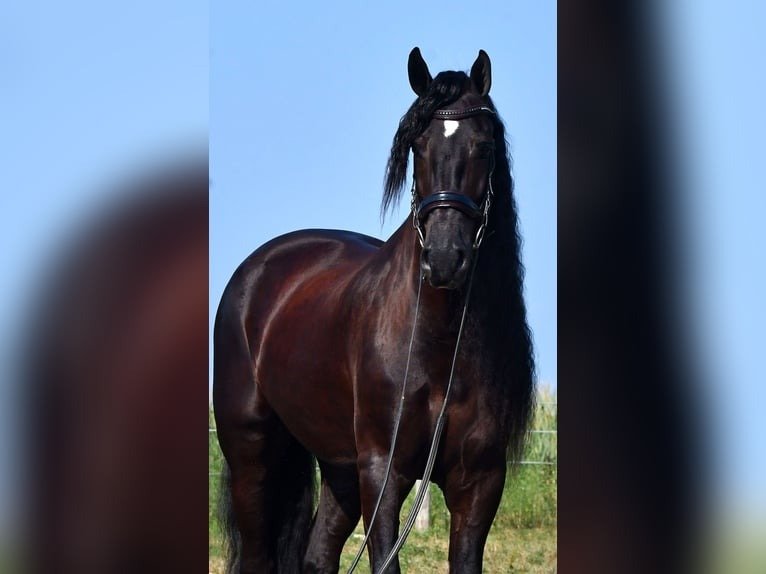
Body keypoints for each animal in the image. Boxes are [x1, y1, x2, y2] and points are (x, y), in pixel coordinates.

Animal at [213, 47, 535, 574]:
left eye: (485, 146)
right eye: (417, 145)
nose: (445, 259)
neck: (438, 344)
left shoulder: (480, 481)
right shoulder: (383, 472)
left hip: (339, 468)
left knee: (316, 556)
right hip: (252, 455)